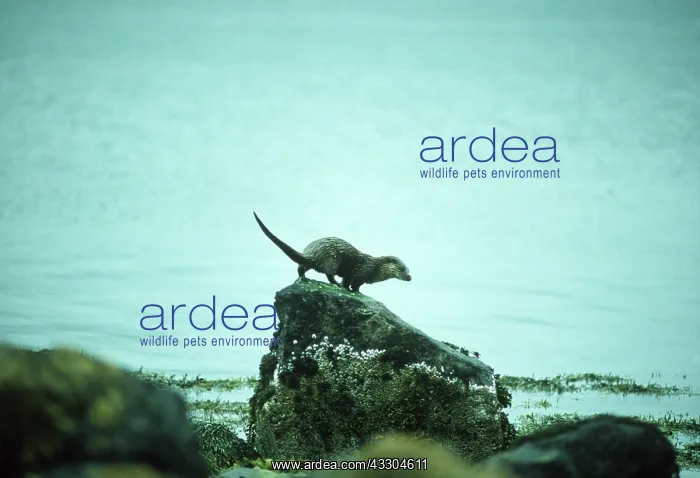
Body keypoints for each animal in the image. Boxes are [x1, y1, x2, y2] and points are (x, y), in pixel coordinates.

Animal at [253, 212, 412, 292]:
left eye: (409, 269)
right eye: (402, 268)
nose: (410, 277)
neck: (375, 268)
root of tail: (314, 251)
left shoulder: (352, 275)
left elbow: (347, 281)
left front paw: (346, 287)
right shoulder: (360, 273)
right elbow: (354, 284)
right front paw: (356, 292)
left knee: (301, 267)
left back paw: (302, 277)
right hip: (332, 259)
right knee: (329, 274)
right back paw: (335, 284)